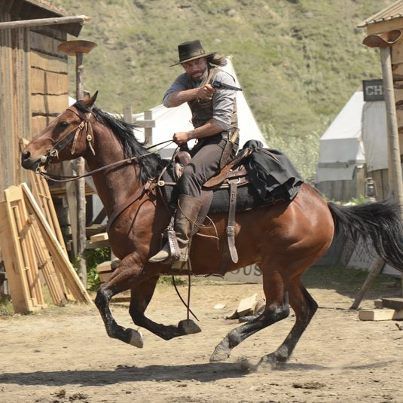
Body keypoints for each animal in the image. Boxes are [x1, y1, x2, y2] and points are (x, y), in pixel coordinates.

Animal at [22, 95, 403, 370]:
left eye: (64, 123)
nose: (27, 153)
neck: (137, 191)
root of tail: (324, 204)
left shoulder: (136, 262)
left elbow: (104, 298)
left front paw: (129, 336)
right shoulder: (148, 269)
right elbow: (137, 312)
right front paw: (177, 328)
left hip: (275, 267)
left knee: (277, 310)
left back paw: (227, 345)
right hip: (291, 269)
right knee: (305, 309)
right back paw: (274, 358)